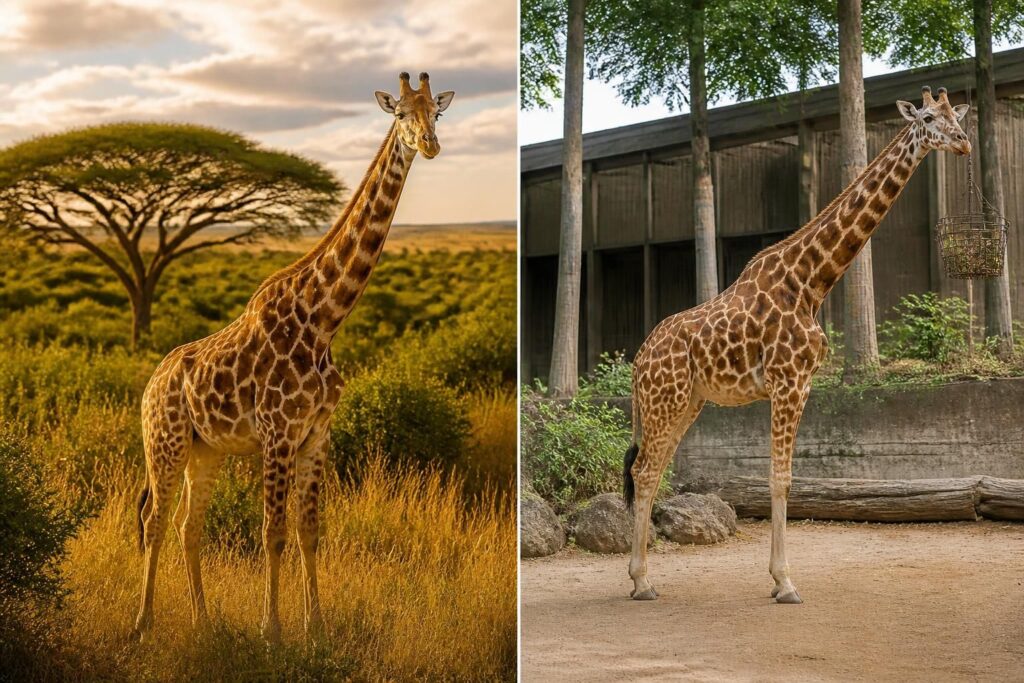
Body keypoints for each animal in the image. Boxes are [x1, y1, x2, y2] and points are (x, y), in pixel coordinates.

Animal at [131, 72, 455, 643]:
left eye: (436, 112)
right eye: (400, 115)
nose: (430, 144)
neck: (323, 320)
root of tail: (151, 382)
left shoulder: (317, 434)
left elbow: (309, 531)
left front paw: (316, 626)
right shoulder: (278, 432)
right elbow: (273, 532)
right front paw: (273, 630)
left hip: (205, 451)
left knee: (189, 526)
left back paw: (203, 622)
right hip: (164, 442)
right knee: (155, 522)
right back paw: (144, 626)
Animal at [623, 87, 970, 604]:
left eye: (955, 116)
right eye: (928, 117)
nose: (964, 142)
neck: (811, 283)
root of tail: (638, 361)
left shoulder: (801, 384)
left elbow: (786, 477)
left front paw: (779, 579)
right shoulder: (789, 381)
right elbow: (780, 478)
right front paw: (784, 582)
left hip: (686, 403)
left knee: (650, 469)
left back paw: (641, 578)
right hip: (665, 401)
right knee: (645, 472)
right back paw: (642, 581)